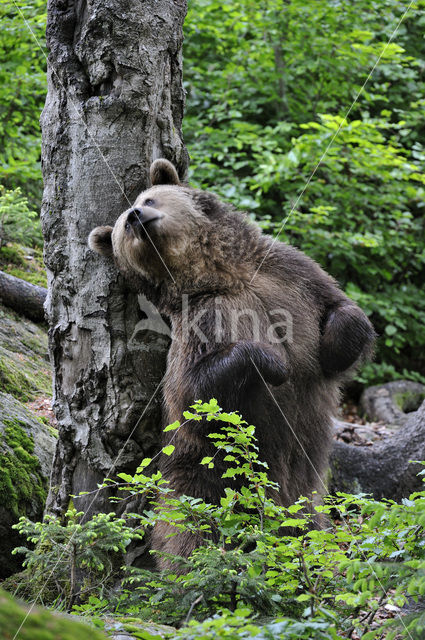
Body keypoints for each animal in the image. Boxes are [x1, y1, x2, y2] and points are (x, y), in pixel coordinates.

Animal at [89, 160, 374, 564]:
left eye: (148, 198)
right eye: (121, 230)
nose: (134, 216)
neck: (223, 275)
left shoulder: (290, 276)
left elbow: (343, 310)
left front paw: (332, 347)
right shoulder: (202, 321)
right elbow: (192, 392)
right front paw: (275, 363)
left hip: (306, 500)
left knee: (316, 537)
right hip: (201, 478)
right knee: (189, 533)